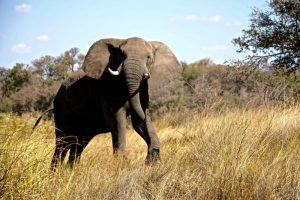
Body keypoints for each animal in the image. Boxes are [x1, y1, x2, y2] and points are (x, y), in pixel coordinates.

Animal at [49, 37, 180, 167]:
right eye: (121, 55)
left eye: (148, 57)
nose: (151, 156)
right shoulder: (108, 91)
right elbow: (118, 121)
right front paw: (121, 164)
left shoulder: (143, 90)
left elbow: (138, 121)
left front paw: (153, 161)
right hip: (62, 107)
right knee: (62, 142)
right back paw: (56, 171)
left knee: (78, 144)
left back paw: (70, 170)